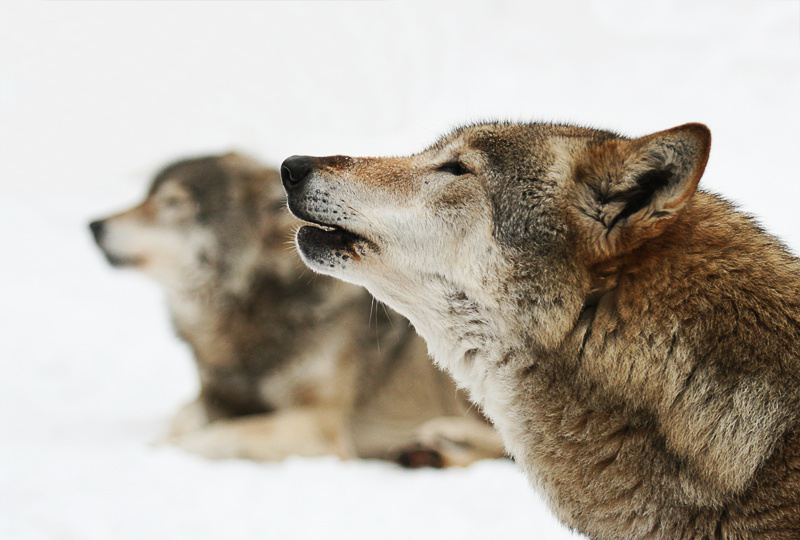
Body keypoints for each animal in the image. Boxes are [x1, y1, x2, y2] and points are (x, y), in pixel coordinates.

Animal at [89, 152, 503, 467]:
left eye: (173, 203)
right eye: (146, 196)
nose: (94, 225)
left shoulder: (319, 425)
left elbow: (225, 434)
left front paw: (162, 450)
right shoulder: (215, 395)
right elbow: (184, 415)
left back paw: (439, 443)